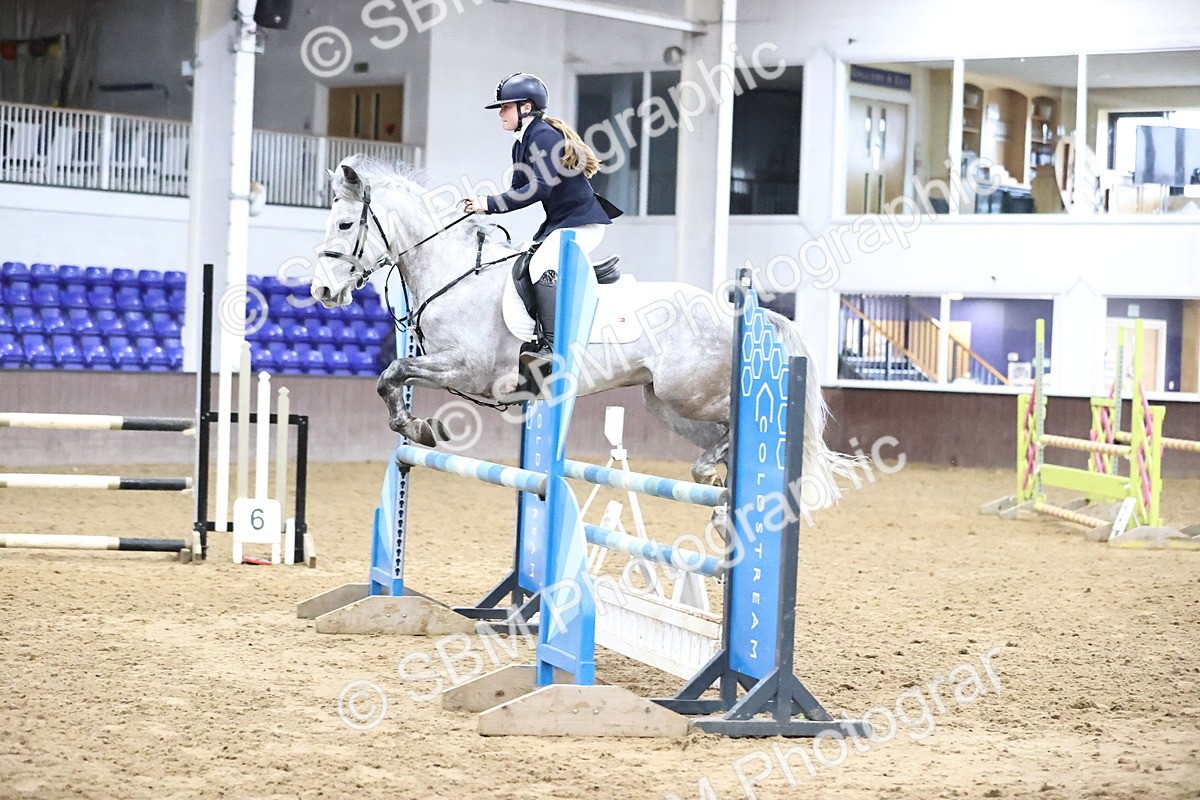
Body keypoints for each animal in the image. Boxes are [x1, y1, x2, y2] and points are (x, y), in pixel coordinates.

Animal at [309, 155, 852, 507]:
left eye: (343, 225)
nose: (321, 291)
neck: (454, 270)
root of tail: (738, 313)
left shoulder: (466, 369)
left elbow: (393, 372)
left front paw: (418, 427)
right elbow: (392, 378)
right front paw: (416, 426)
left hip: (689, 394)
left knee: (743, 423)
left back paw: (716, 477)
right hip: (667, 405)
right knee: (722, 436)